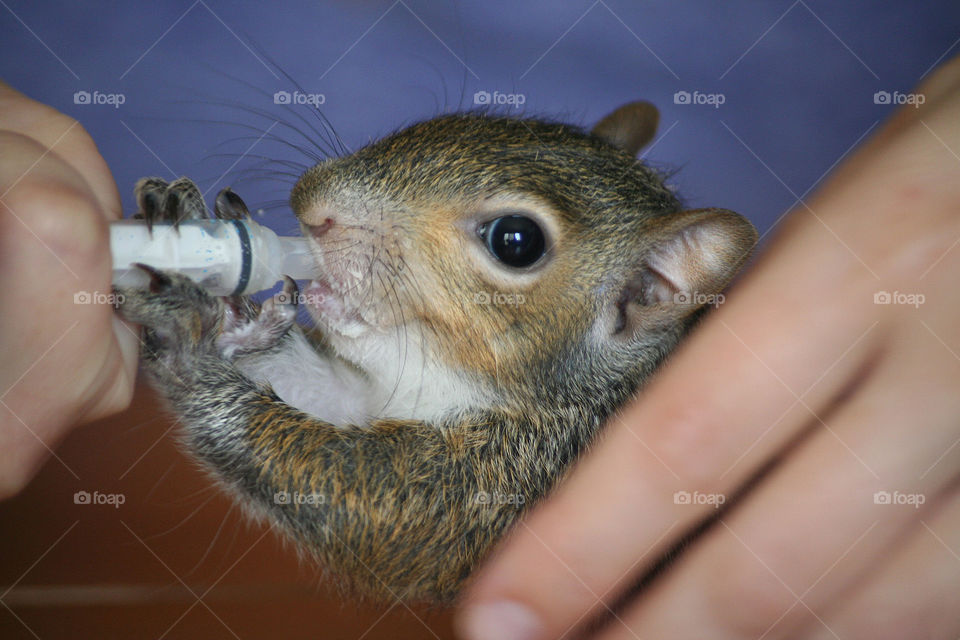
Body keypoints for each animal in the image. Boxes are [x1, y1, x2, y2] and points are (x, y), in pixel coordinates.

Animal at [114, 101, 757, 603]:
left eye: (517, 241)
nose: (313, 207)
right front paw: (225, 316)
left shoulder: (504, 479)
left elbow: (364, 499)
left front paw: (191, 347)